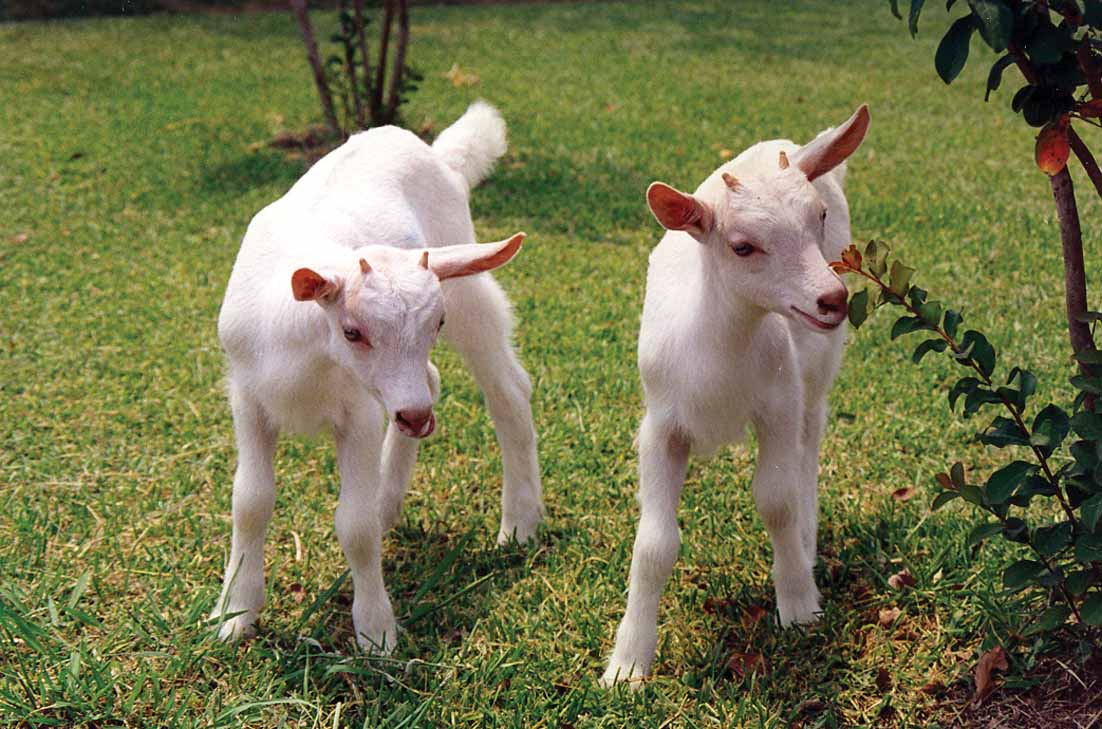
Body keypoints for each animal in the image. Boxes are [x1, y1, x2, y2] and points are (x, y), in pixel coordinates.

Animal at [209, 101, 543, 653]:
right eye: (352, 331)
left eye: (437, 323)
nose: (416, 418)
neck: (306, 356)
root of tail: (439, 155)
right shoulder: (249, 397)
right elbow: (250, 503)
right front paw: (235, 615)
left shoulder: (359, 410)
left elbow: (354, 524)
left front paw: (375, 632)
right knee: (431, 379)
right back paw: (391, 500)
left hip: (467, 280)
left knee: (507, 389)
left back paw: (520, 524)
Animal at [602, 105, 870, 686]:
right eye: (742, 245)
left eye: (818, 218)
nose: (832, 298)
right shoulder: (660, 424)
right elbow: (654, 543)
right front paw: (628, 664)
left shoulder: (778, 406)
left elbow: (776, 500)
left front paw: (798, 604)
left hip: (817, 369)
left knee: (810, 442)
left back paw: (807, 547)